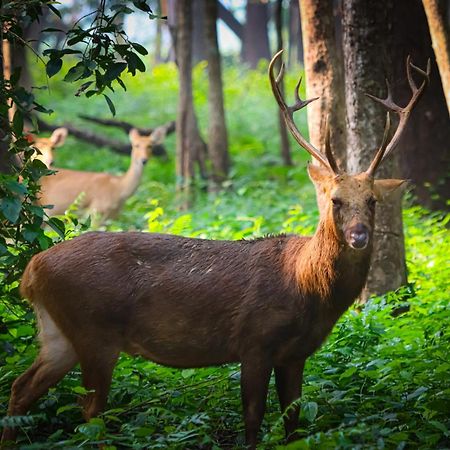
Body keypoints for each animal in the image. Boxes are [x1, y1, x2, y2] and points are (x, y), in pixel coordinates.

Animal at [37, 125, 170, 223]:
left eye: (150, 146)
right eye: (135, 145)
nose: (143, 160)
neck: (119, 189)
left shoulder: (111, 218)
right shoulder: (95, 211)